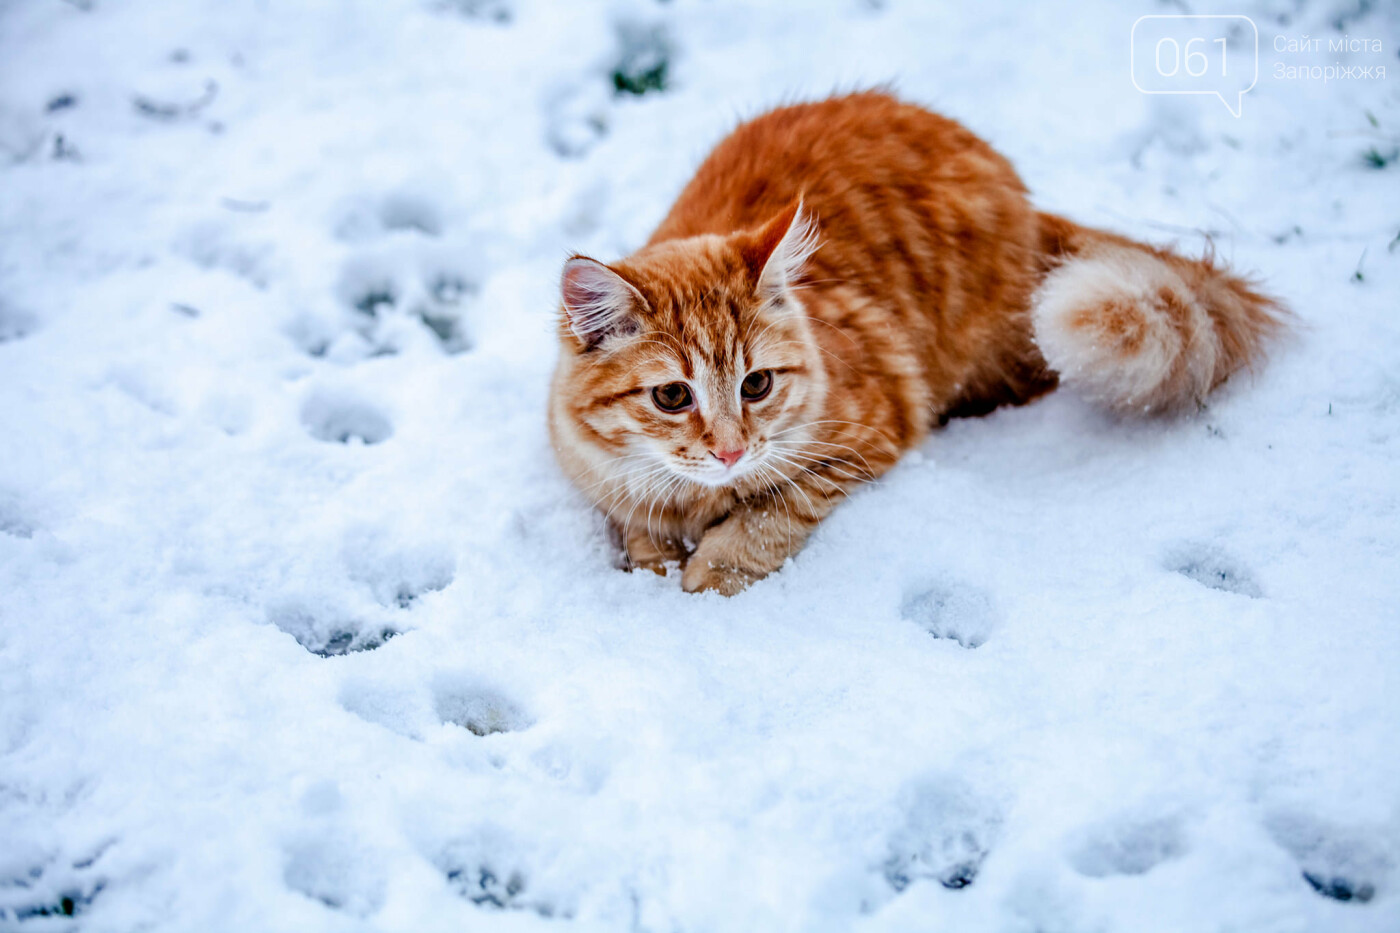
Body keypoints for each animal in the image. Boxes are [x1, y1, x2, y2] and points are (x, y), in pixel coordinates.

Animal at [543, 91, 1282, 591]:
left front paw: (713, 570)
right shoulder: (605, 476)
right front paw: (656, 563)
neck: (695, 495)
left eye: (757, 384)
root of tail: (1023, 202)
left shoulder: (872, 428)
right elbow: (639, 525)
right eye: (672, 396)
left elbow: (772, 515)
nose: (730, 449)